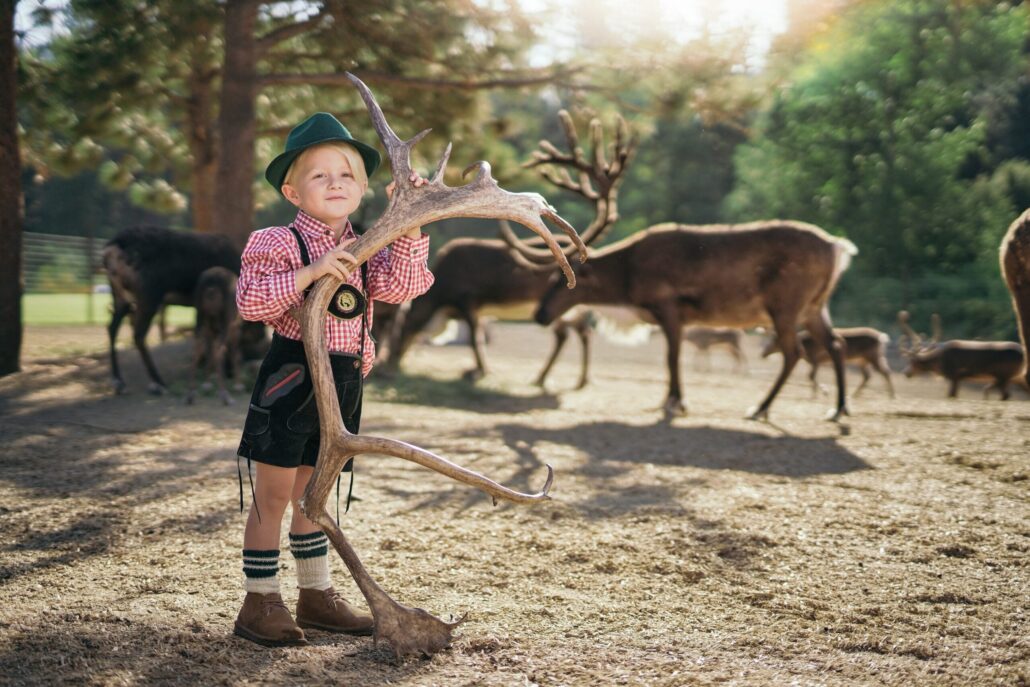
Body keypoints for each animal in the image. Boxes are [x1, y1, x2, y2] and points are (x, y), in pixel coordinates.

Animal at [185, 267, 242, 406]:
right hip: (225, 319)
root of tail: (210, 286)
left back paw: (190, 395)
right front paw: (238, 386)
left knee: (196, 350)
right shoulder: (235, 326)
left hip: (200, 316)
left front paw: (207, 384)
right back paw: (225, 396)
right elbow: (235, 353)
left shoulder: (211, 329)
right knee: (219, 352)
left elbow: (208, 352)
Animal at [376, 109, 635, 387]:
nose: (387, 368)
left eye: (401, 331)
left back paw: (560, 378)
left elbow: (476, 339)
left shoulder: (468, 298)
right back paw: (558, 378)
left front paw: (480, 371)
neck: (441, 300)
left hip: (567, 304)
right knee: (576, 332)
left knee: (575, 332)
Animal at [528, 221, 858, 421]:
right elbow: (673, 358)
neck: (627, 282)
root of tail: (838, 248)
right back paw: (839, 408)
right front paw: (672, 400)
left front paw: (675, 402)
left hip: (786, 305)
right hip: (814, 307)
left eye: (560, 280)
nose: (539, 315)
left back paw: (760, 408)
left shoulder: (669, 308)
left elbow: (671, 357)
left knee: (794, 351)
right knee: (836, 343)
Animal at [760, 327, 894, 398]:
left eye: (773, 341)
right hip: (862, 360)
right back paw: (855, 394)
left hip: (873, 356)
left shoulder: (816, 358)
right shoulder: (816, 361)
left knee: (885, 371)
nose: (763, 353)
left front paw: (819, 393)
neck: (805, 348)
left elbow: (810, 376)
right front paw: (820, 392)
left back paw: (891, 395)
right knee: (868, 375)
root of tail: (882, 337)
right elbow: (811, 376)